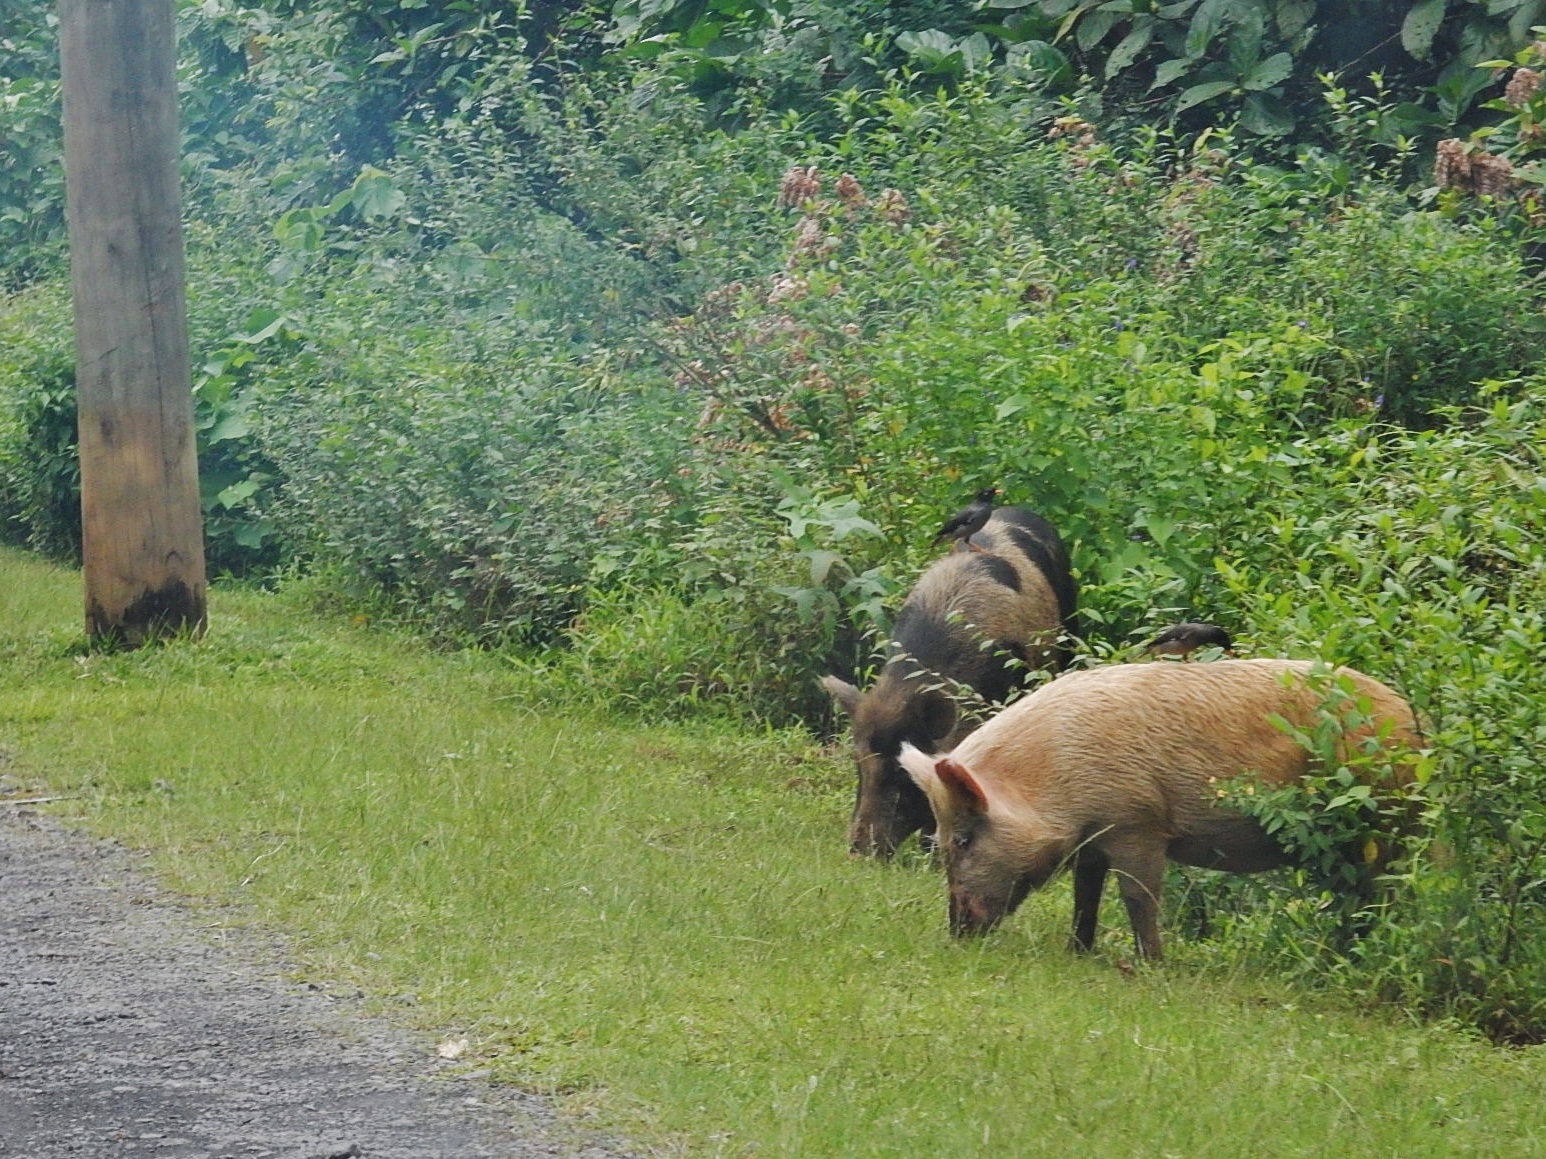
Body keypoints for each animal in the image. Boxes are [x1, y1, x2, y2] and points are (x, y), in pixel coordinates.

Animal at [902, 661, 1416, 964]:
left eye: (963, 839)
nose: (957, 932)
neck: (1053, 775)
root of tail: (1414, 722)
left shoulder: (1139, 823)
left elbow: (1139, 897)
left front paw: (1152, 966)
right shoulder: (1093, 841)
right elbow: (1085, 895)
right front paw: (1076, 953)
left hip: (1378, 820)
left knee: (1376, 893)